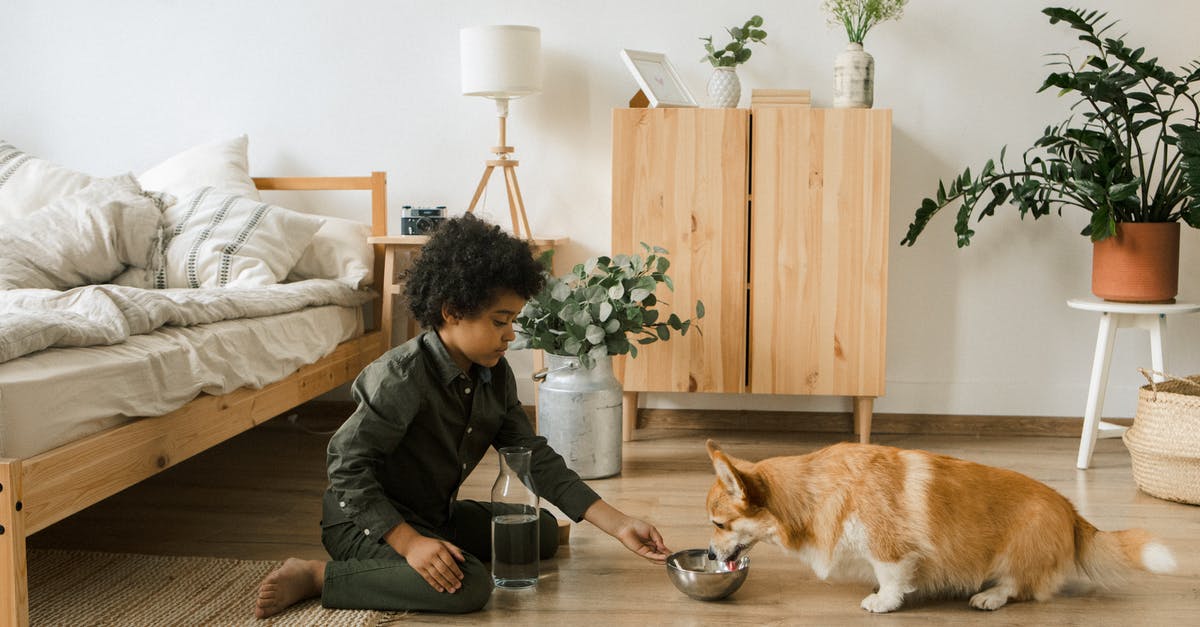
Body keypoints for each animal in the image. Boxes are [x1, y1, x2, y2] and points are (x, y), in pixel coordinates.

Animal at [705, 439, 1176, 610]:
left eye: (719, 524)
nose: (708, 553)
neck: (813, 492)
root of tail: (1071, 510)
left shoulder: (890, 549)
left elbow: (892, 578)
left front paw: (882, 602)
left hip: (1018, 548)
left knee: (1019, 585)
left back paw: (988, 597)